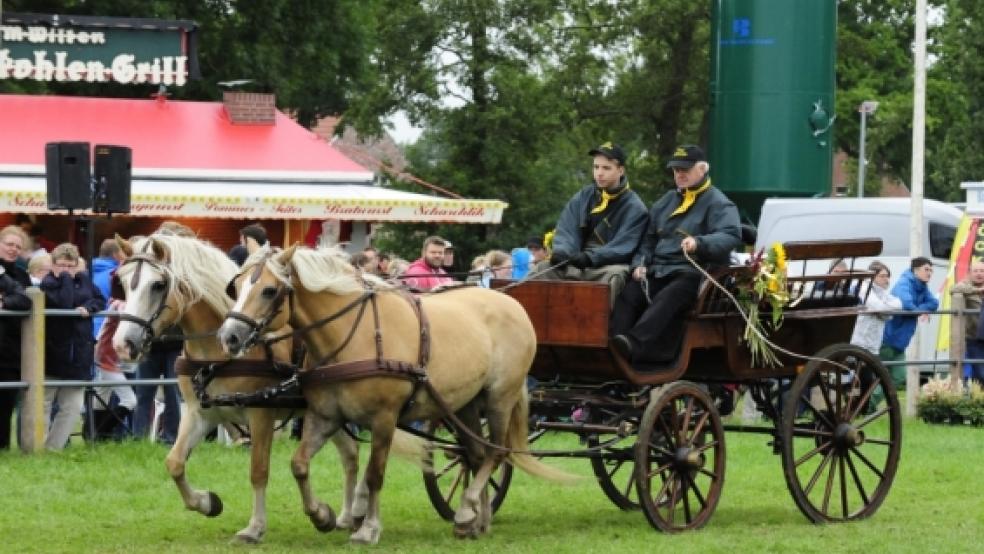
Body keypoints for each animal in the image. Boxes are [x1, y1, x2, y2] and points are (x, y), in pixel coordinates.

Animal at [219, 244, 572, 540]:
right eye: (236, 286)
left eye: (269, 290)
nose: (229, 336)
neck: (352, 334)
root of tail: (513, 304)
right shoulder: (325, 417)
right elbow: (299, 464)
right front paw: (322, 515)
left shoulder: (384, 418)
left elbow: (375, 474)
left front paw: (368, 528)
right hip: (465, 404)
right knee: (476, 454)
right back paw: (476, 519)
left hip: (500, 397)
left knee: (497, 453)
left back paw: (467, 508)